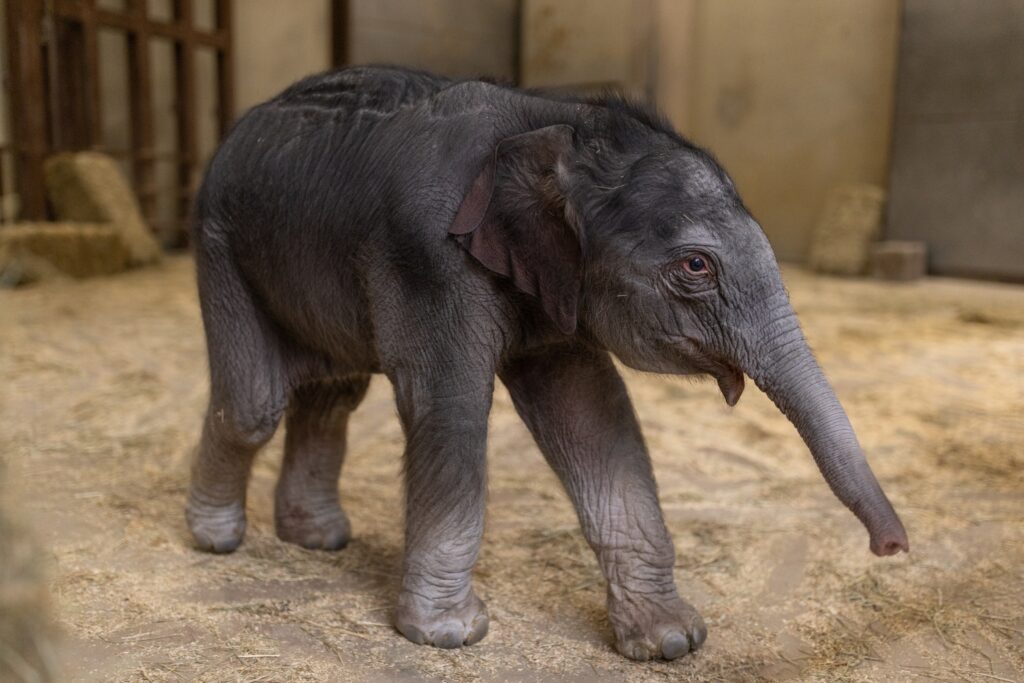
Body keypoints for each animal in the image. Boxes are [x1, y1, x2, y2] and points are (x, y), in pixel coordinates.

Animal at [186, 65, 908, 661]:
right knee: (254, 405)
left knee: (333, 391)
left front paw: (670, 641)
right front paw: (450, 635)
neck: (555, 124)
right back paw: (217, 541)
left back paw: (318, 539)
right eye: (695, 266)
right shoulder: (426, 258)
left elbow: (594, 416)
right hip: (217, 240)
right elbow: (450, 409)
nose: (893, 548)